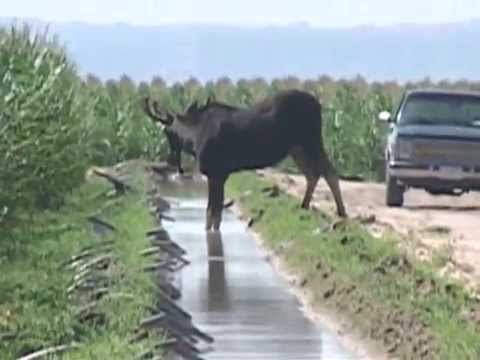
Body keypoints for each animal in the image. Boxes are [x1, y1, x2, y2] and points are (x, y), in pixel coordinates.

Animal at [142, 90, 344, 231]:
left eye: (167, 133)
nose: (170, 160)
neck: (193, 138)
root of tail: (319, 105)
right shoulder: (220, 175)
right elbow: (215, 214)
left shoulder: (215, 173)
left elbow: (212, 213)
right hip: (297, 148)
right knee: (313, 173)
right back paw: (304, 206)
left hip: (311, 140)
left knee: (329, 171)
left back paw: (341, 213)